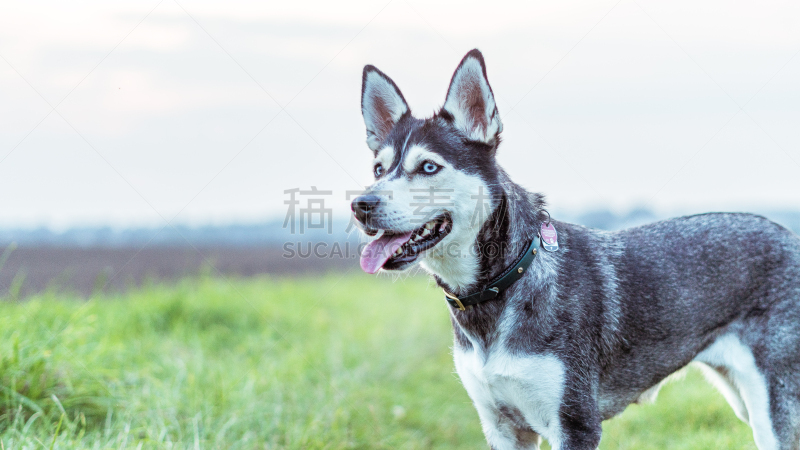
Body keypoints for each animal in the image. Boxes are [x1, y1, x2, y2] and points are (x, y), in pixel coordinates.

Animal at [352, 47, 800, 448]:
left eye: (428, 167)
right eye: (377, 169)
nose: (361, 204)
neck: (504, 283)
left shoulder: (575, 423)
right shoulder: (502, 427)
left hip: (773, 410)